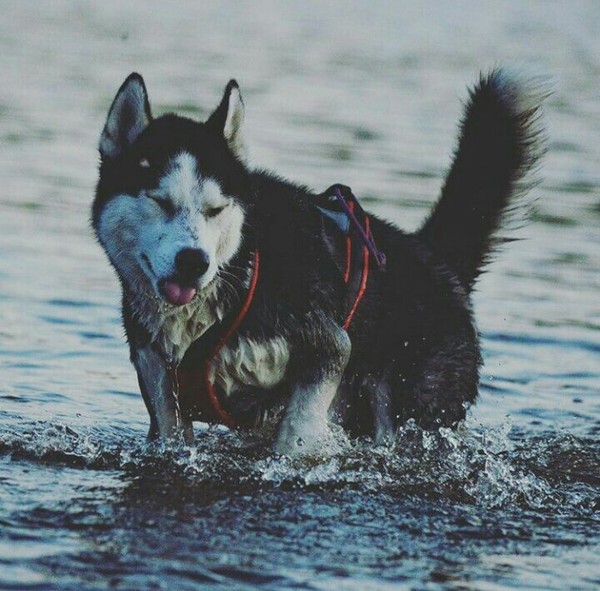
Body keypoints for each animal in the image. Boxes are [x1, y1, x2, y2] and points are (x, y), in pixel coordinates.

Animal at [92, 70, 544, 458]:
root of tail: (434, 258)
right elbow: (172, 436)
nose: (194, 262)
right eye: (159, 201)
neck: (238, 274)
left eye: (215, 209)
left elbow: (296, 430)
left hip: (414, 408)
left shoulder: (327, 345)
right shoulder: (157, 372)